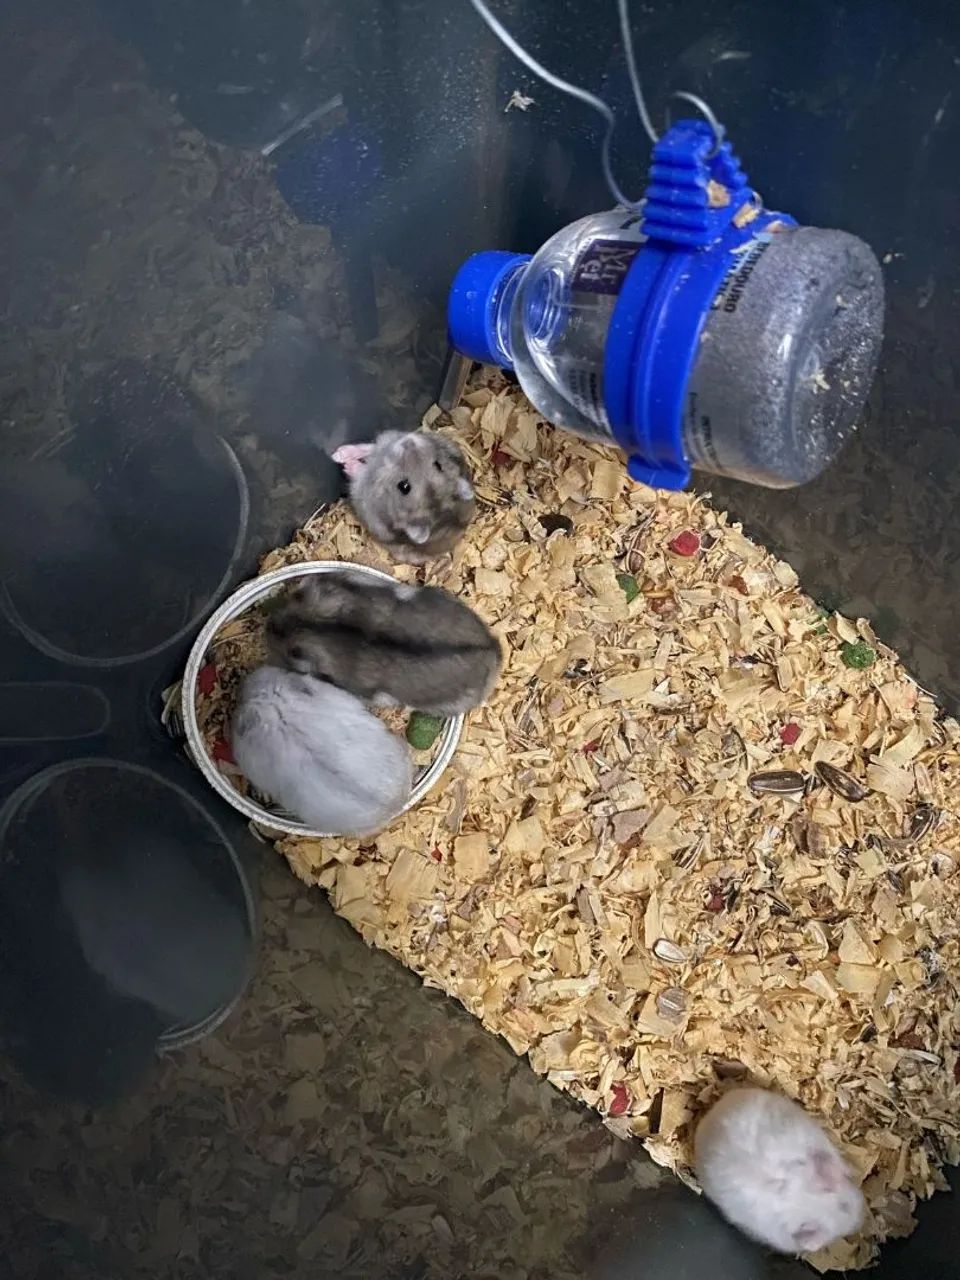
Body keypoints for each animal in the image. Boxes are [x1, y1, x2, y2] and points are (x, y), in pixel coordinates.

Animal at [333, 430, 475, 562]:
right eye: (438, 465)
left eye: (404, 486)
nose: (409, 441)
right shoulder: (383, 445)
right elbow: (368, 448)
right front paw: (338, 455)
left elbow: (361, 472)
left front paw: (348, 466)